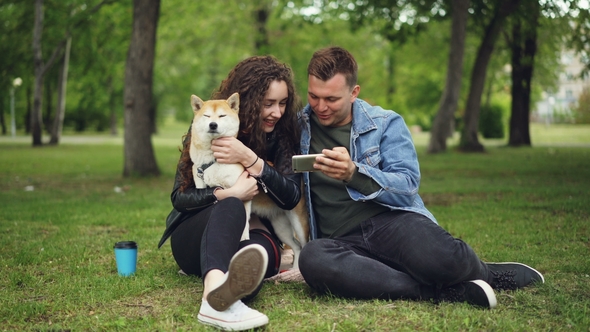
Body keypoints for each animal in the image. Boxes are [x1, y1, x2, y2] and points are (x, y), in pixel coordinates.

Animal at [190, 93, 310, 270]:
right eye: (206, 116)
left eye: (222, 116)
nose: (213, 124)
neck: (213, 158)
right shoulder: (200, 182)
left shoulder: (243, 193)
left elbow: (244, 222)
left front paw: (244, 238)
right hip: (280, 226)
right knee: (296, 246)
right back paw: (294, 269)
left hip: (298, 222)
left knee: (304, 243)